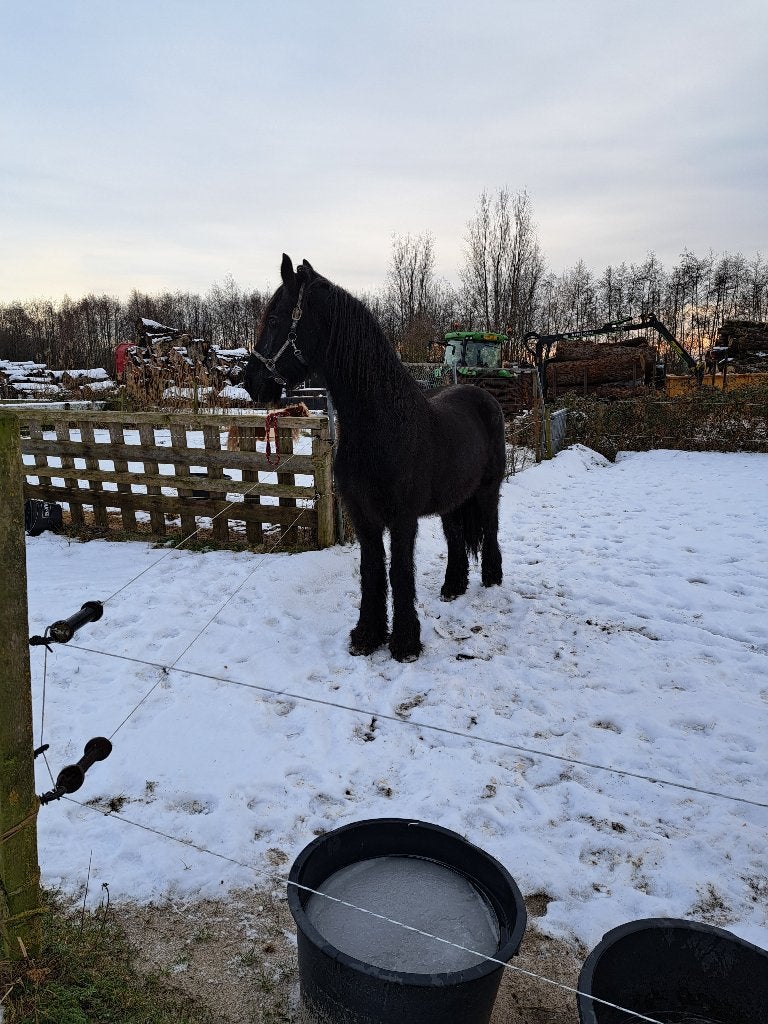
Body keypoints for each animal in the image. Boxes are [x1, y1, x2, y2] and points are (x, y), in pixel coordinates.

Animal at [243, 255, 506, 662]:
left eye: (274, 320)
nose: (249, 381)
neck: (382, 423)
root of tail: (484, 396)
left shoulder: (402, 519)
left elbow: (399, 572)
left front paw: (405, 643)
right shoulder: (362, 515)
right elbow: (371, 571)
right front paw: (367, 635)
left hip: (488, 490)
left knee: (490, 528)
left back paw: (491, 579)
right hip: (452, 499)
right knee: (455, 537)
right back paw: (453, 586)